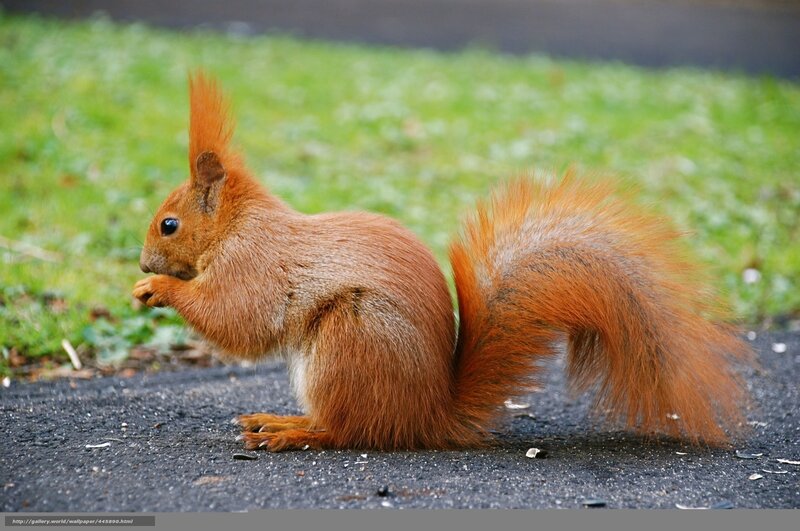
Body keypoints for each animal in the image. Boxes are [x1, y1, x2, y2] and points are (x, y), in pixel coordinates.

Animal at [133, 72, 753, 452]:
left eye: (169, 224)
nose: (141, 264)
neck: (237, 225)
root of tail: (428, 415)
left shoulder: (254, 263)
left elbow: (239, 319)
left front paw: (161, 290)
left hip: (350, 339)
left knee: (348, 430)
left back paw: (291, 431)